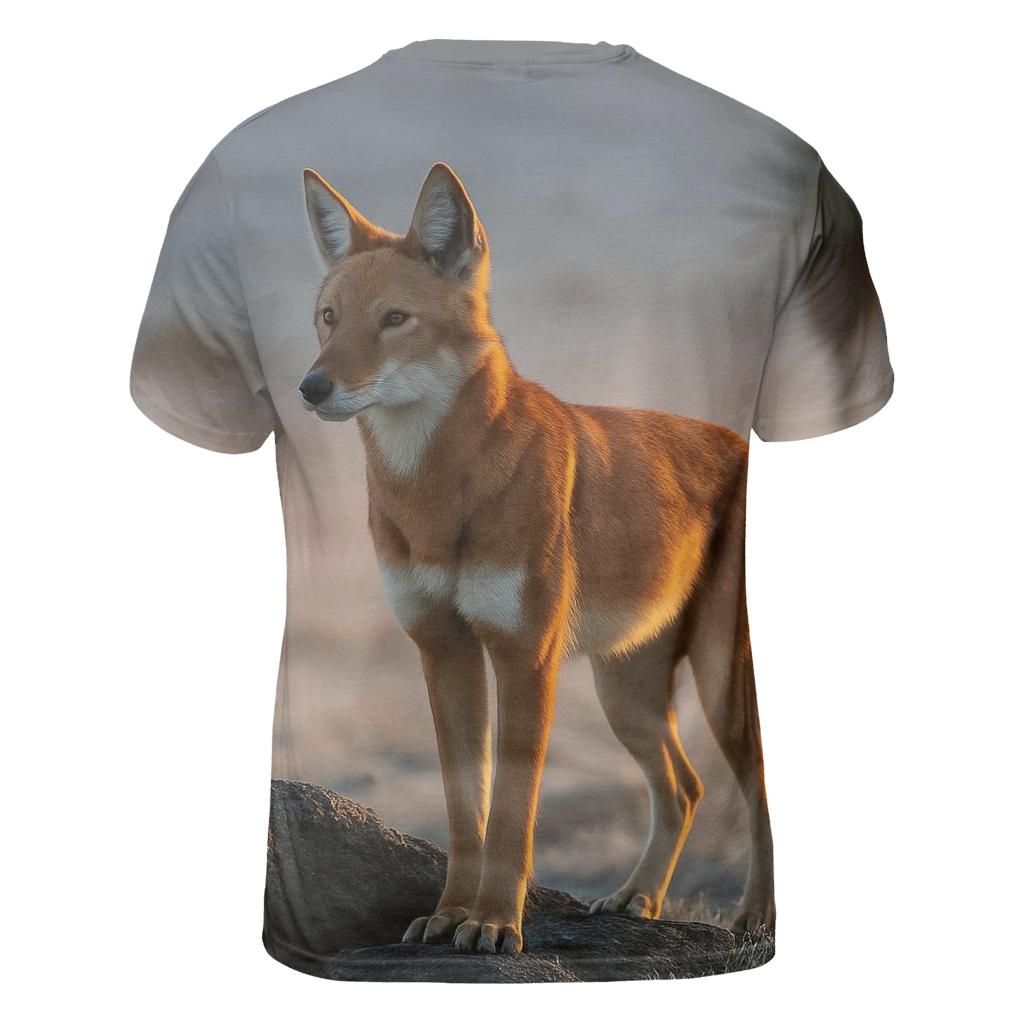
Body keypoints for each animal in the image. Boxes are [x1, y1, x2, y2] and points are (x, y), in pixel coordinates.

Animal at [298, 163, 774, 954]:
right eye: (329, 317)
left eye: (394, 319)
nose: (311, 386)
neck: (438, 492)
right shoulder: (444, 653)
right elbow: (466, 812)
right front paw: (448, 916)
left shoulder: (525, 657)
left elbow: (513, 815)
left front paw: (494, 923)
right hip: (627, 700)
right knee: (685, 788)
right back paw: (637, 898)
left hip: (720, 688)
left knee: (756, 788)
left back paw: (755, 915)